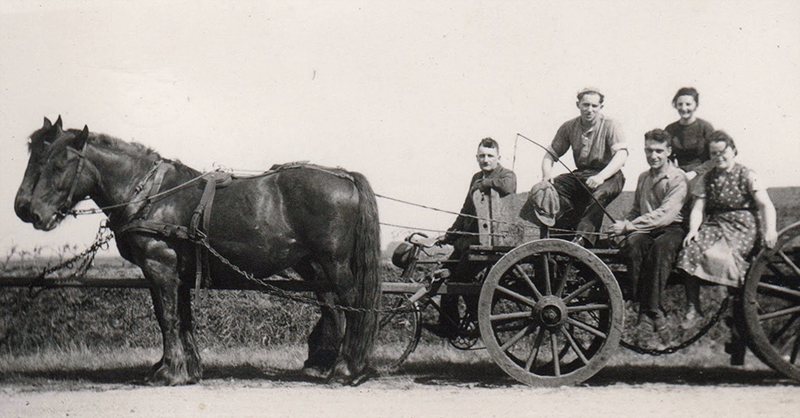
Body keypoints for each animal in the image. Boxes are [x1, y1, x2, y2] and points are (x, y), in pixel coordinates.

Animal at [16, 121, 382, 386]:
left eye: (59, 164)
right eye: (33, 157)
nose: (26, 210)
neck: (150, 195)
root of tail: (344, 176)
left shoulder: (159, 266)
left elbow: (167, 318)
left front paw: (169, 372)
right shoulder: (176, 272)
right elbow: (182, 318)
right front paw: (187, 369)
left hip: (334, 264)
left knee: (353, 307)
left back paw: (347, 369)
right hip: (313, 266)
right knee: (334, 307)